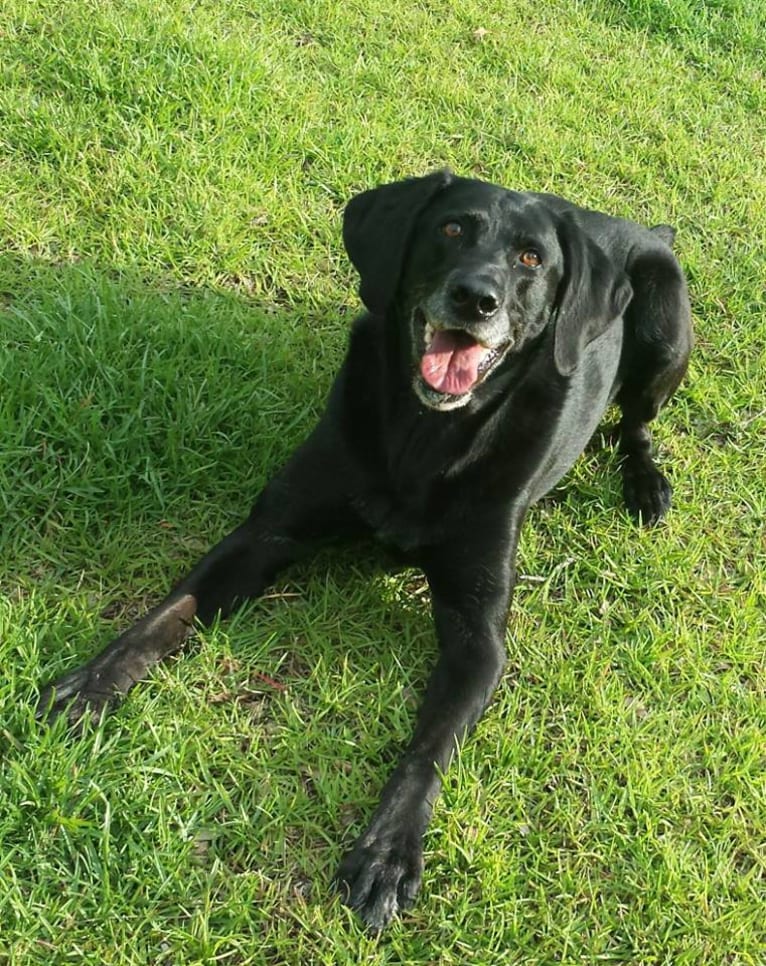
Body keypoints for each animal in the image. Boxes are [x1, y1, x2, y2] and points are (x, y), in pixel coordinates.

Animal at [37, 172, 696, 932]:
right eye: (451, 229)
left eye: (531, 258)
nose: (476, 298)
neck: (422, 438)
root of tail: (638, 228)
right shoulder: (265, 535)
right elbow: (168, 613)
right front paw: (92, 682)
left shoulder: (479, 634)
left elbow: (428, 749)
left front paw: (388, 852)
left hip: (666, 331)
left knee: (636, 425)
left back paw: (645, 484)